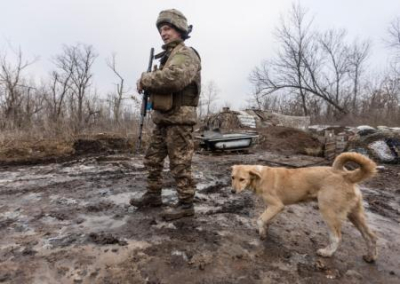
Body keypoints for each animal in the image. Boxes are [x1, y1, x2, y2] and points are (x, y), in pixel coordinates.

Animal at [231, 153, 378, 262]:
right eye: (232, 177)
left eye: (242, 179)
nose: (232, 191)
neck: (259, 176)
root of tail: (347, 175)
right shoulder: (271, 208)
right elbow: (266, 220)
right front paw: (265, 231)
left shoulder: (277, 205)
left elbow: (260, 220)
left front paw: (261, 233)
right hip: (355, 214)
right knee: (370, 236)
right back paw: (370, 257)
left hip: (328, 212)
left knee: (337, 237)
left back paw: (326, 252)